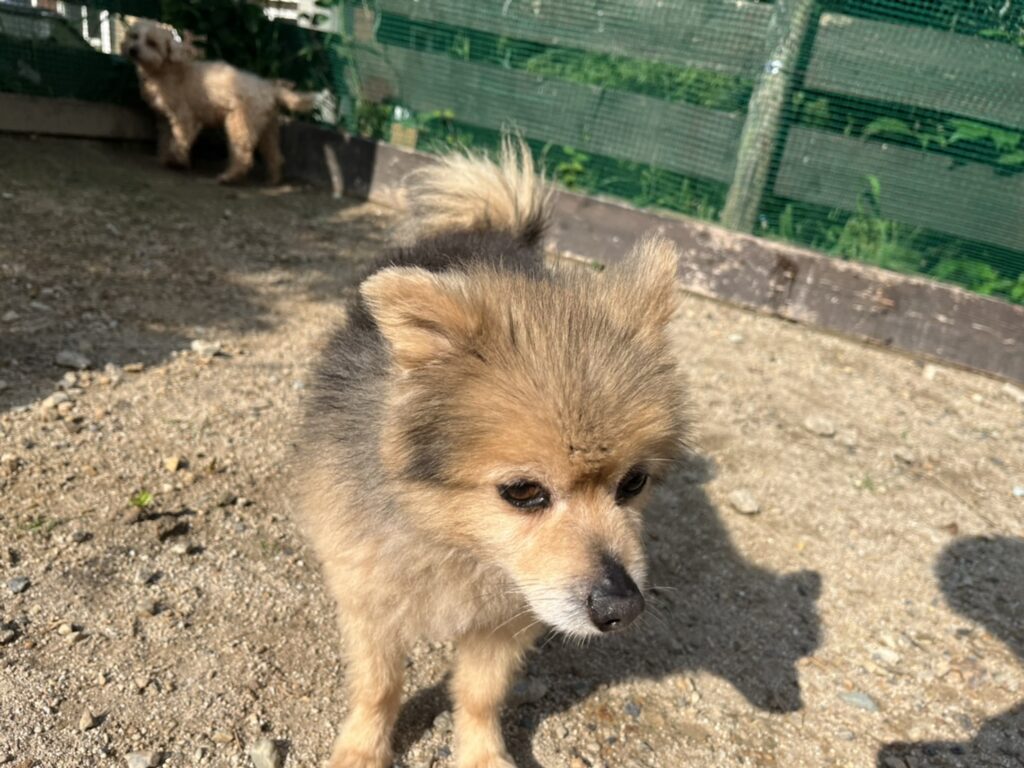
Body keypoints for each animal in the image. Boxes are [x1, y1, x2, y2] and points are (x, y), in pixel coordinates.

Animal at [121, 20, 315, 184]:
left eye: (151, 43)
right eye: (134, 36)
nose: (132, 50)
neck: (166, 69)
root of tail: (269, 87)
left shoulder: (185, 118)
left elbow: (179, 141)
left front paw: (178, 160)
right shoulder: (164, 119)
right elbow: (165, 139)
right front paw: (165, 159)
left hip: (239, 125)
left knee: (244, 155)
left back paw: (228, 177)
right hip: (267, 129)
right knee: (275, 156)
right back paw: (272, 180)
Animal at [294, 139, 688, 768]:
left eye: (633, 484)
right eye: (523, 492)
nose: (622, 608)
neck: (457, 544)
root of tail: (491, 229)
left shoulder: (506, 621)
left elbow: (479, 695)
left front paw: (481, 755)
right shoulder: (372, 601)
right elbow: (379, 686)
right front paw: (361, 750)